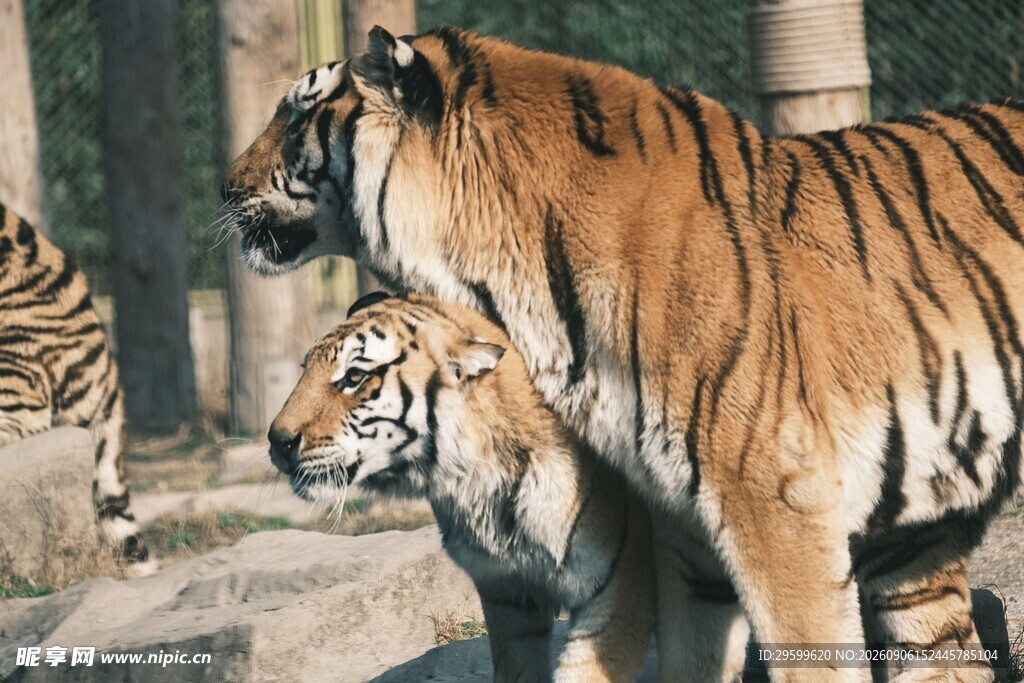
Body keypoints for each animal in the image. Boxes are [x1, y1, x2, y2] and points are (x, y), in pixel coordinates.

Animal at [270, 291, 654, 682]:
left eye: (355, 376)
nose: (277, 441)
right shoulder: (508, 595)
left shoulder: (618, 591)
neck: (478, 487)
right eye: (305, 369)